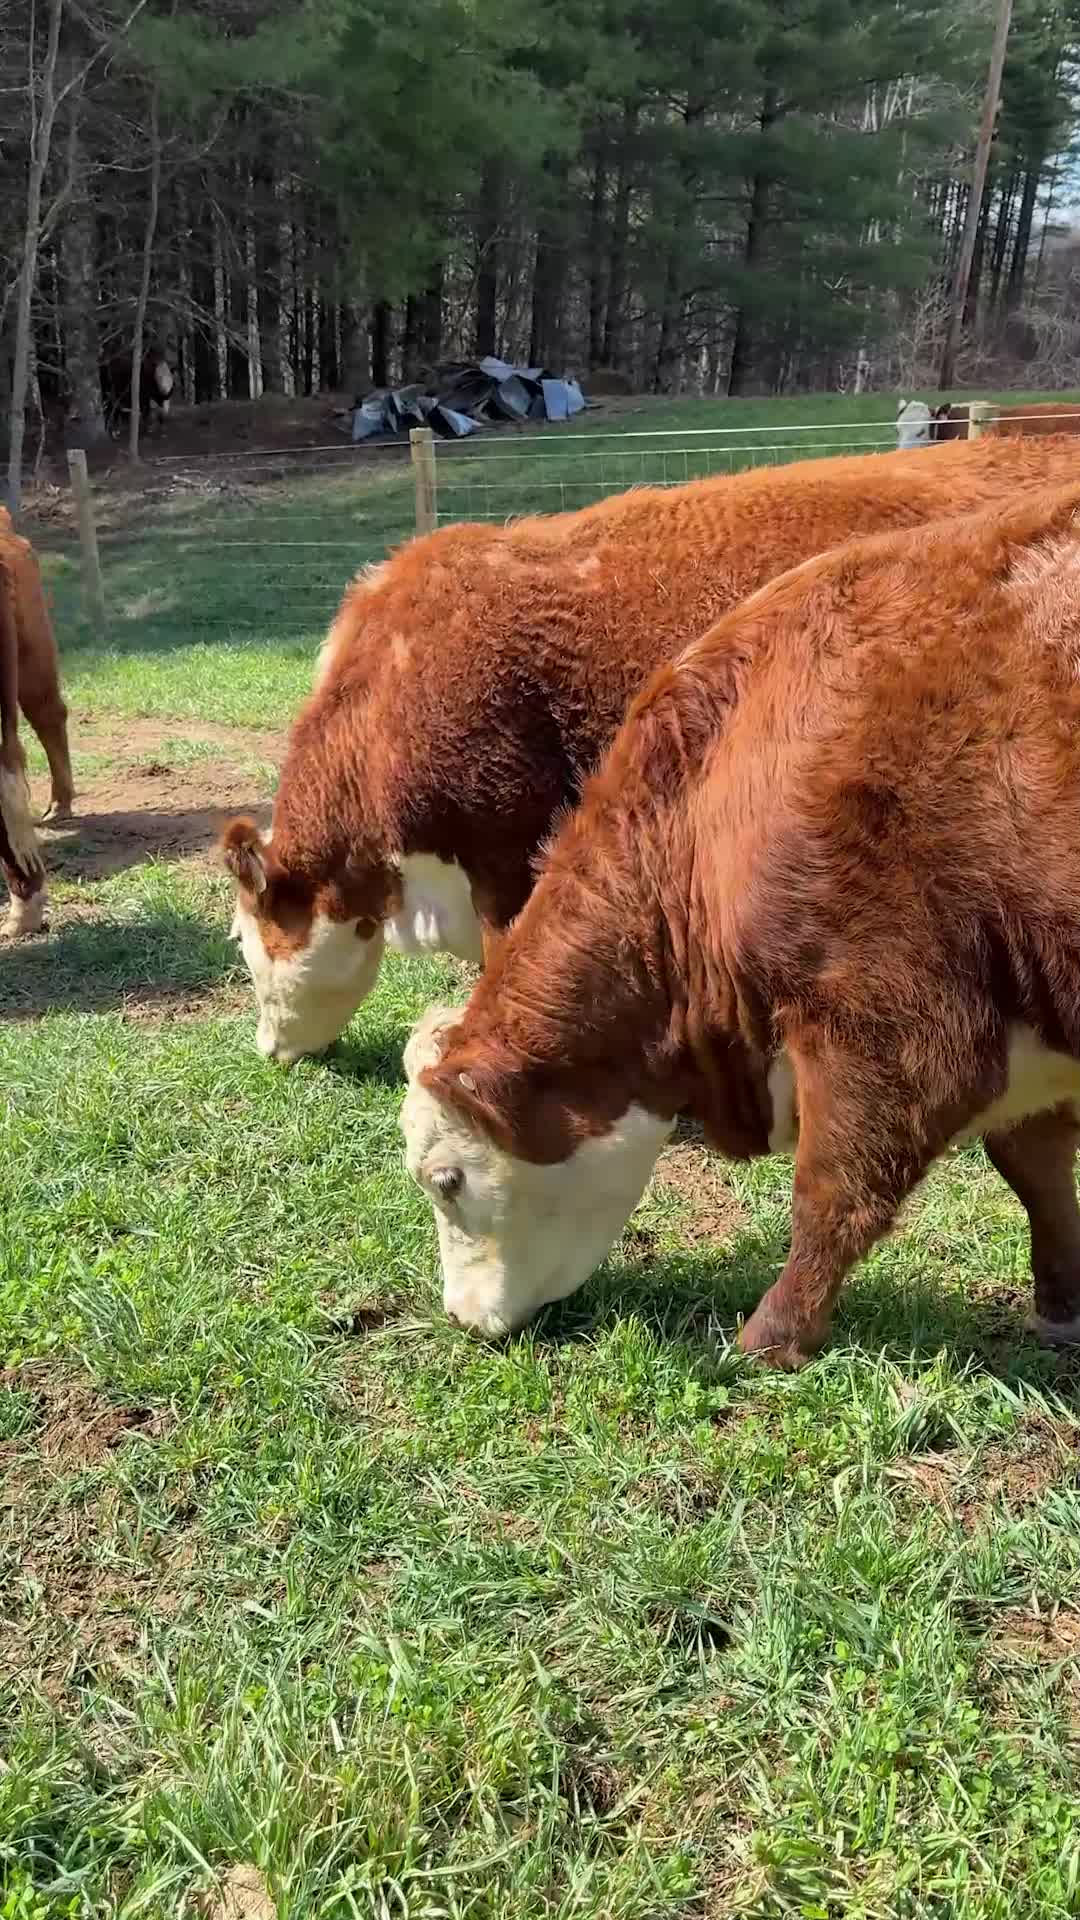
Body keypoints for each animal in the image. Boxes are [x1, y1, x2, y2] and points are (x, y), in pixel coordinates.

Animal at [401, 478, 1080, 1366]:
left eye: (447, 1180)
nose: (461, 1318)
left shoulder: (893, 1031)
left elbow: (834, 1195)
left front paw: (772, 1335)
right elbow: (1037, 1167)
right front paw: (1064, 1304)